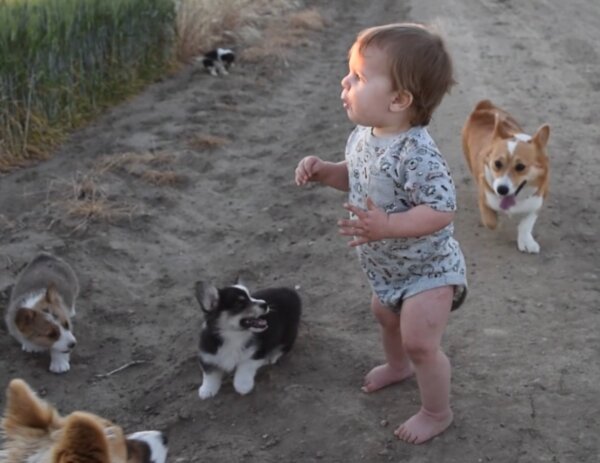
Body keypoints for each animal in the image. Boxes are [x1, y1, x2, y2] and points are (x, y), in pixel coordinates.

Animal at [462, 100, 552, 256]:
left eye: (520, 167)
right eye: (497, 164)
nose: (502, 190)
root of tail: (483, 107)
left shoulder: (537, 201)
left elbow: (526, 224)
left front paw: (526, 241)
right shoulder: (484, 196)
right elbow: (490, 221)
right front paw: (497, 220)